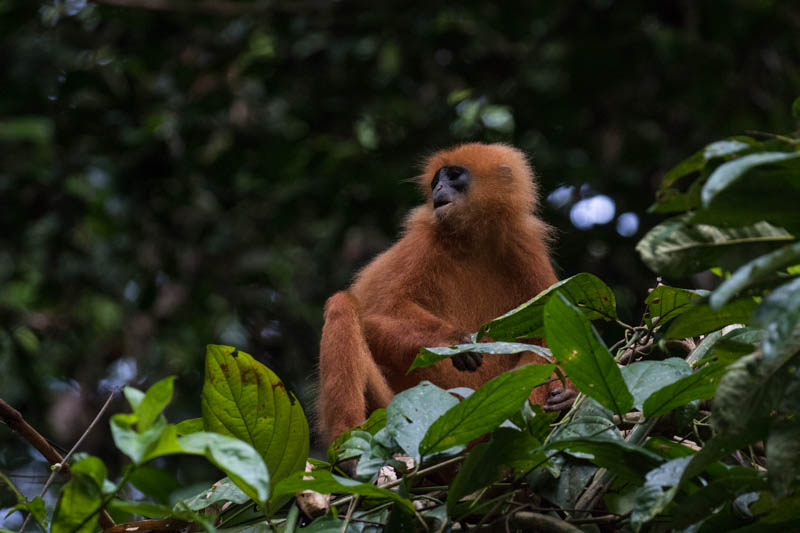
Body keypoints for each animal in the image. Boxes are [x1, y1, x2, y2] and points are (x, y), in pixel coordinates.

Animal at [318, 143, 576, 442]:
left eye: (453, 176)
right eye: (435, 182)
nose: (439, 187)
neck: (473, 242)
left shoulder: (524, 247)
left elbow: (546, 337)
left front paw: (564, 397)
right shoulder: (422, 244)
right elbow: (376, 316)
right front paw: (453, 341)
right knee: (343, 305)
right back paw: (346, 439)